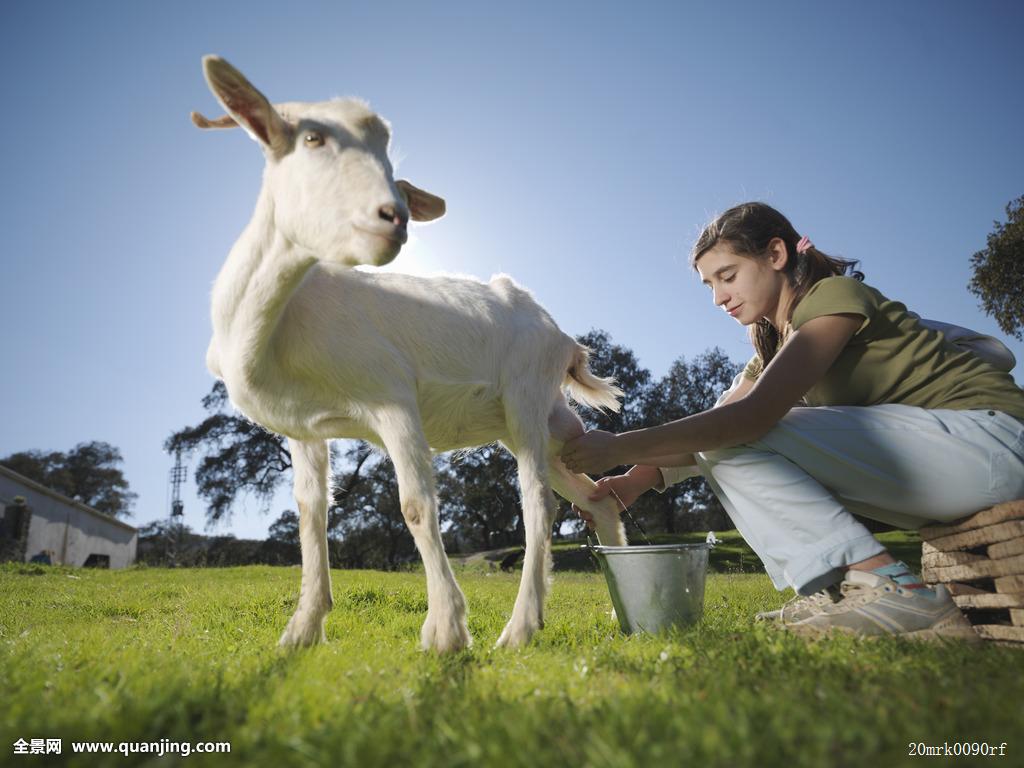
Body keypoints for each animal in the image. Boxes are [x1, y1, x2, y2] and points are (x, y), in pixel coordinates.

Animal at [191, 57, 622, 651]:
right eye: (312, 137)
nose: (392, 216)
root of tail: (562, 336)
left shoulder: (392, 398)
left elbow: (416, 506)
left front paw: (445, 630)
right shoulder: (303, 429)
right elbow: (310, 515)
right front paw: (301, 630)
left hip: (526, 397)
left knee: (539, 503)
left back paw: (518, 629)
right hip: (545, 425)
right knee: (596, 496)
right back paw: (620, 614)